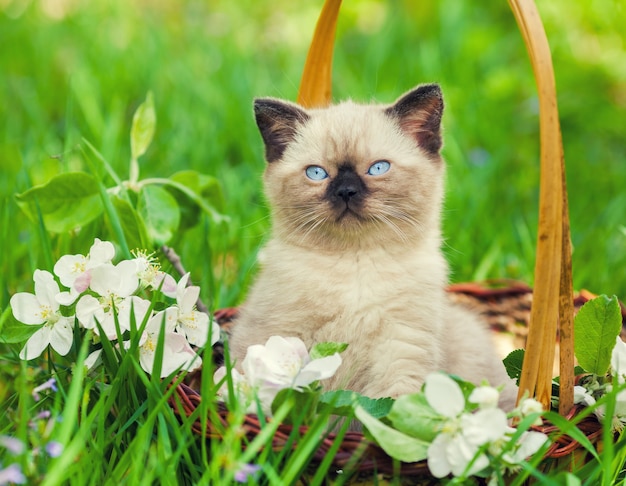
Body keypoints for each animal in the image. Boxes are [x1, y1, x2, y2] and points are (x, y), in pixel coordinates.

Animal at [227, 84, 516, 406]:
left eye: (378, 168)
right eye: (316, 173)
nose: (346, 191)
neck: (355, 262)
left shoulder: (401, 349)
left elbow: (390, 408)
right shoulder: (280, 334)